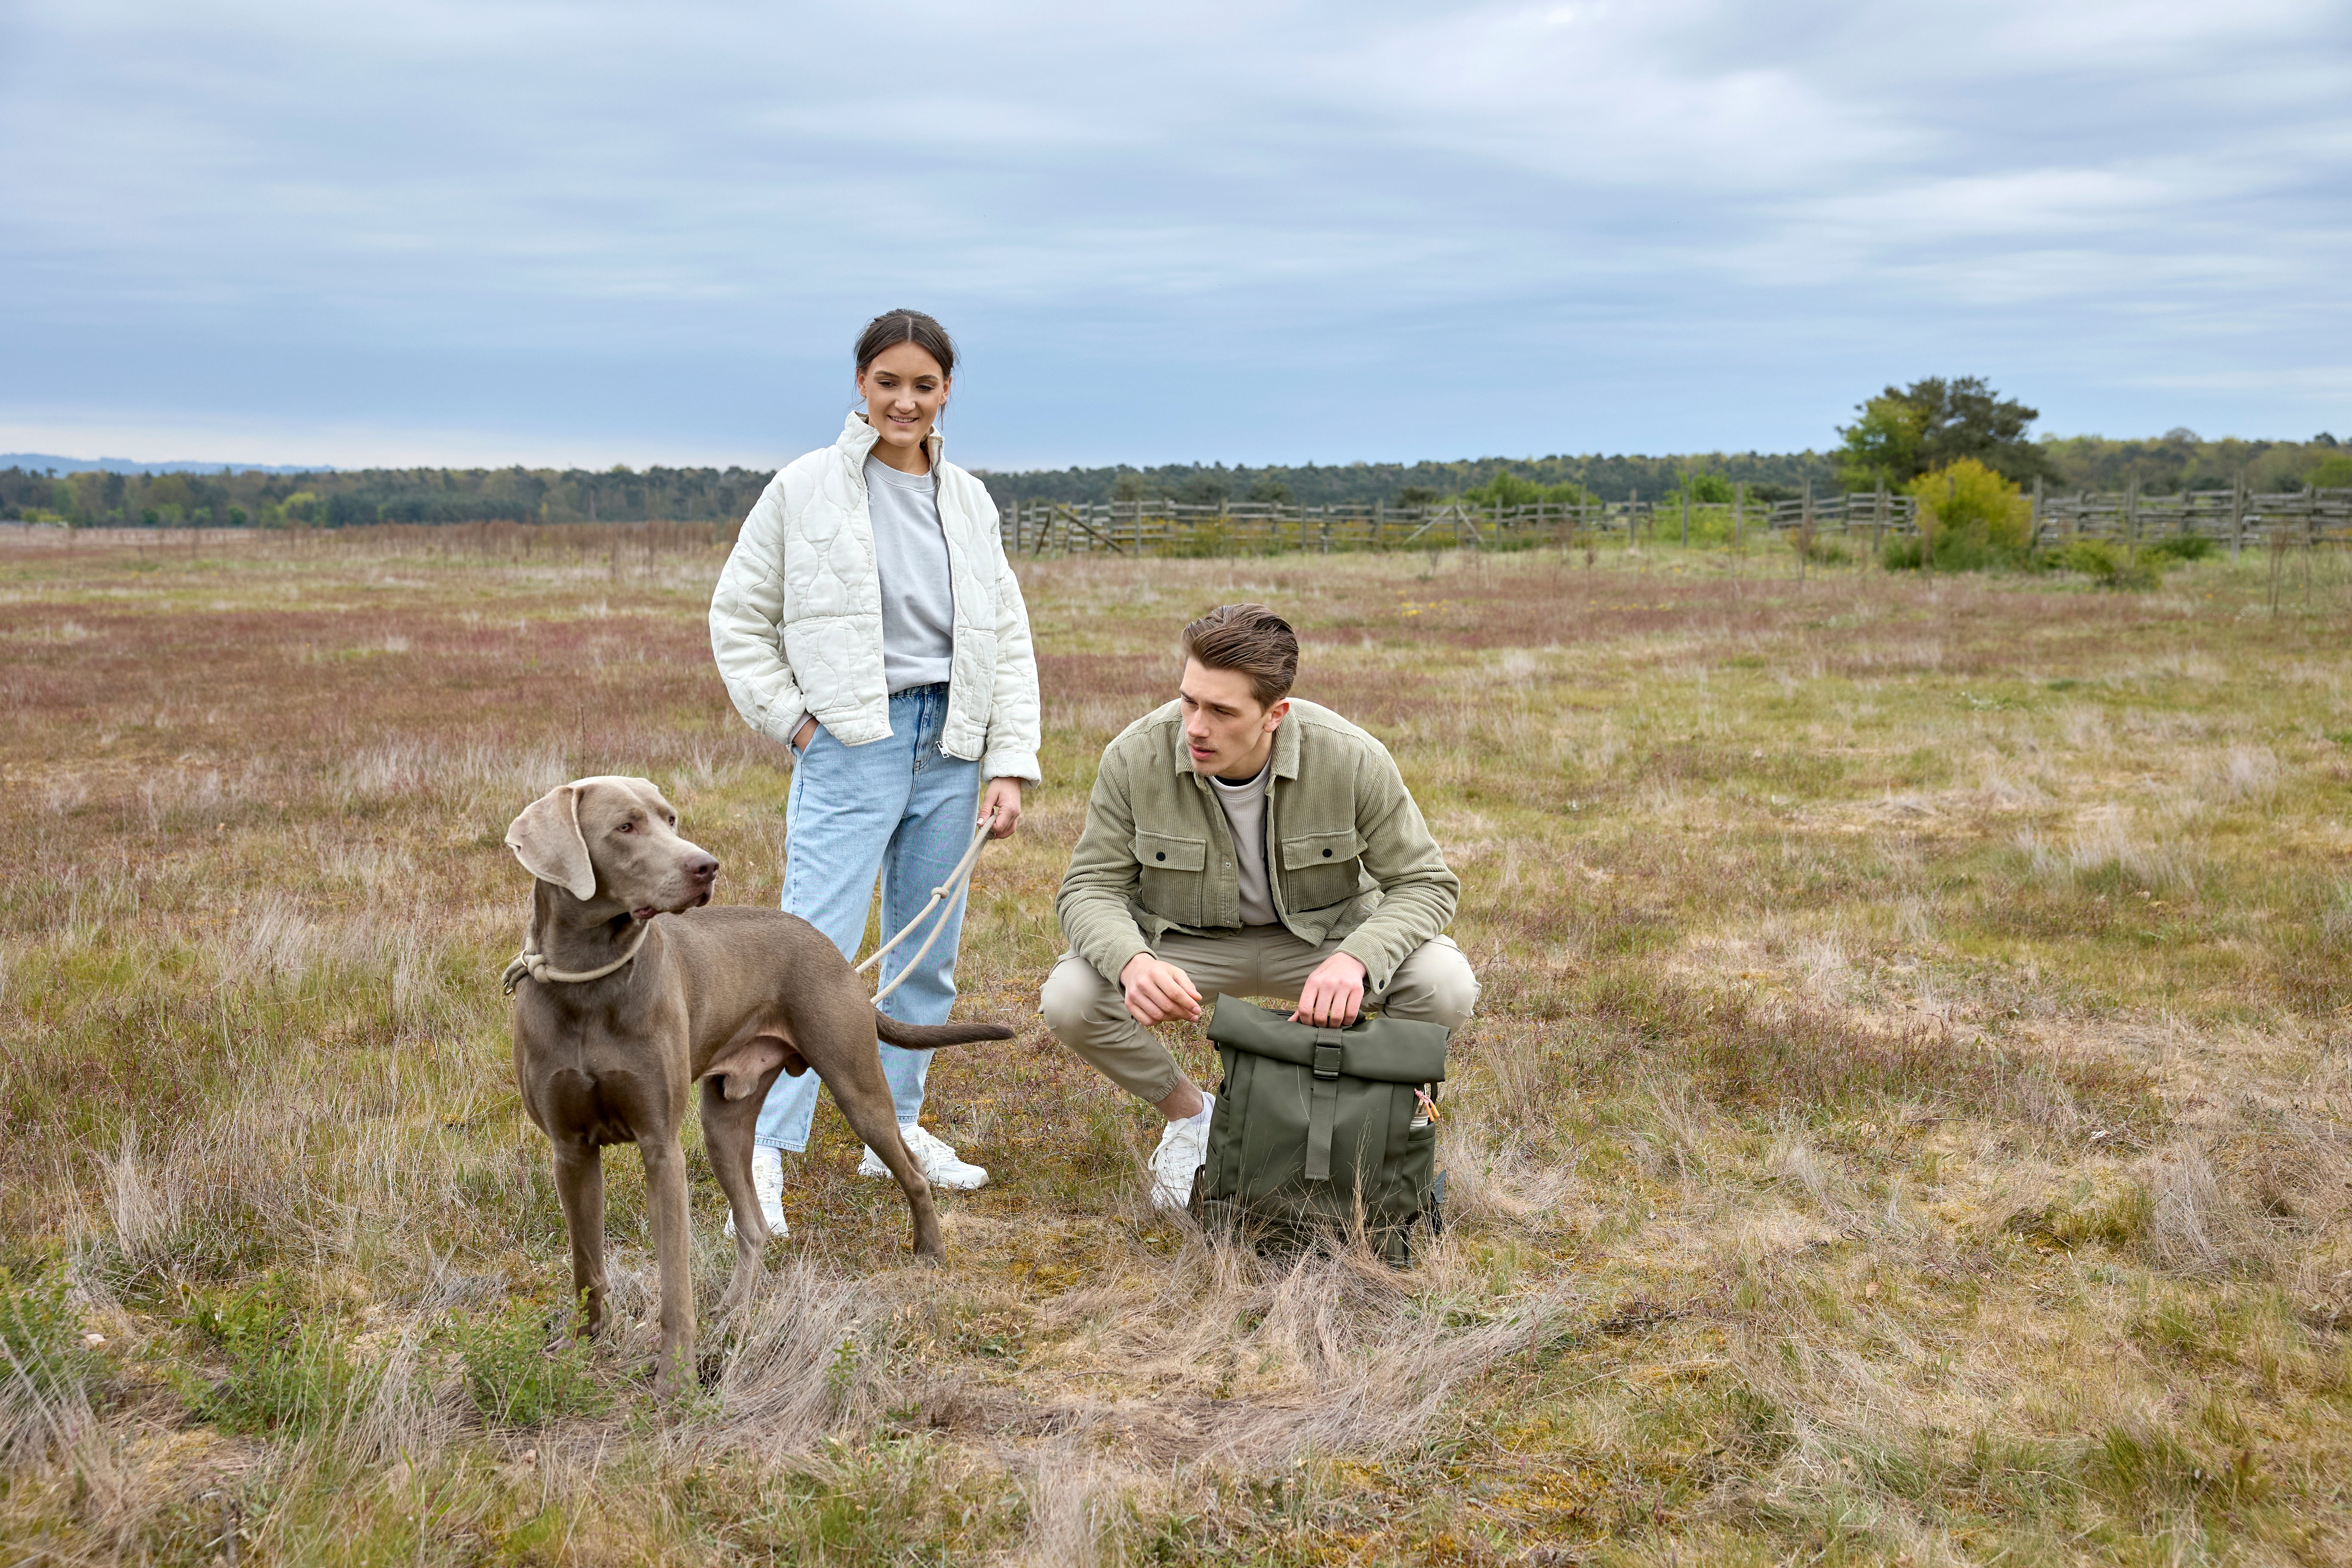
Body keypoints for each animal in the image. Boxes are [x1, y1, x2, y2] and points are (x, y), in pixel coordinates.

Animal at [501, 780, 1016, 1391]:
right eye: (625, 827)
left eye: (670, 819)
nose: (706, 866)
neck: (589, 982)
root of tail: (832, 950)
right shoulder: (570, 1150)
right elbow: (587, 1265)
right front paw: (581, 1347)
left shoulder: (660, 1147)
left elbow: (674, 1280)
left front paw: (675, 1379)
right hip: (723, 1122)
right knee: (753, 1226)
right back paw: (735, 1310)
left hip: (855, 1084)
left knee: (910, 1172)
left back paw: (929, 1254)